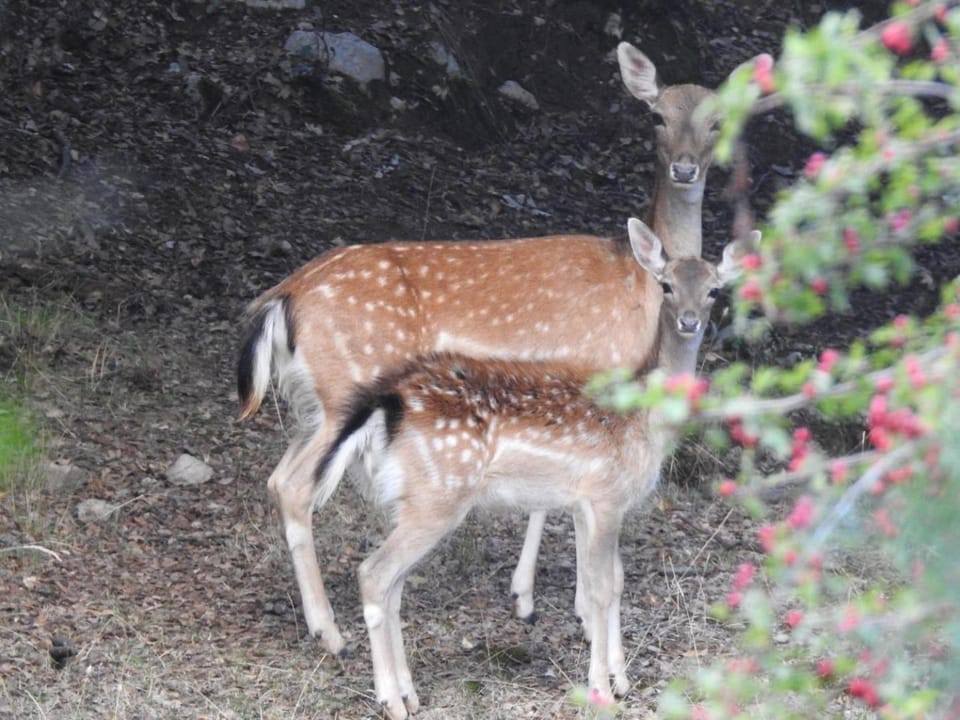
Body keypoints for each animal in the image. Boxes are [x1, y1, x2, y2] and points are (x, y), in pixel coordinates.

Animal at [237, 43, 764, 655]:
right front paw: (566, 606)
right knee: (298, 488)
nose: (685, 167)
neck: (638, 285)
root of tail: (282, 297)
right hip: (347, 384)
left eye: (718, 121)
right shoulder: (596, 371)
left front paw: (527, 596)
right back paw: (330, 631)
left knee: (280, 478)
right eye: (656, 115)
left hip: (315, 403)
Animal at [309, 218, 749, 719]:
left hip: (408, 499)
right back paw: (390, 698)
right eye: (666, 285)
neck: (647, 421)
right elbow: (600, 590)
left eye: (715, 289)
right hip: (438, 495)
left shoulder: (594, 502)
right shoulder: (605, 494)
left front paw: (621, 680)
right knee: (374, 573)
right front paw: (601, 690)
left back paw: (409, 693)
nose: (689, 321)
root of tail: (388, 406)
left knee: (393, 584)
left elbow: (612, 585)